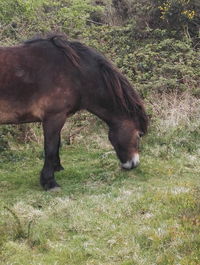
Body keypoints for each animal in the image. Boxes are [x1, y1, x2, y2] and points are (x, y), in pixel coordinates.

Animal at [0, 34, 148, 190]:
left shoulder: (59, 118)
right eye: (139, 135)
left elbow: (57, 144)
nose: (133, 164)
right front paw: (49, 182)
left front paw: (57, 168)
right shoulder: (54, 117)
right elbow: (50, 148)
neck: (76, 75)